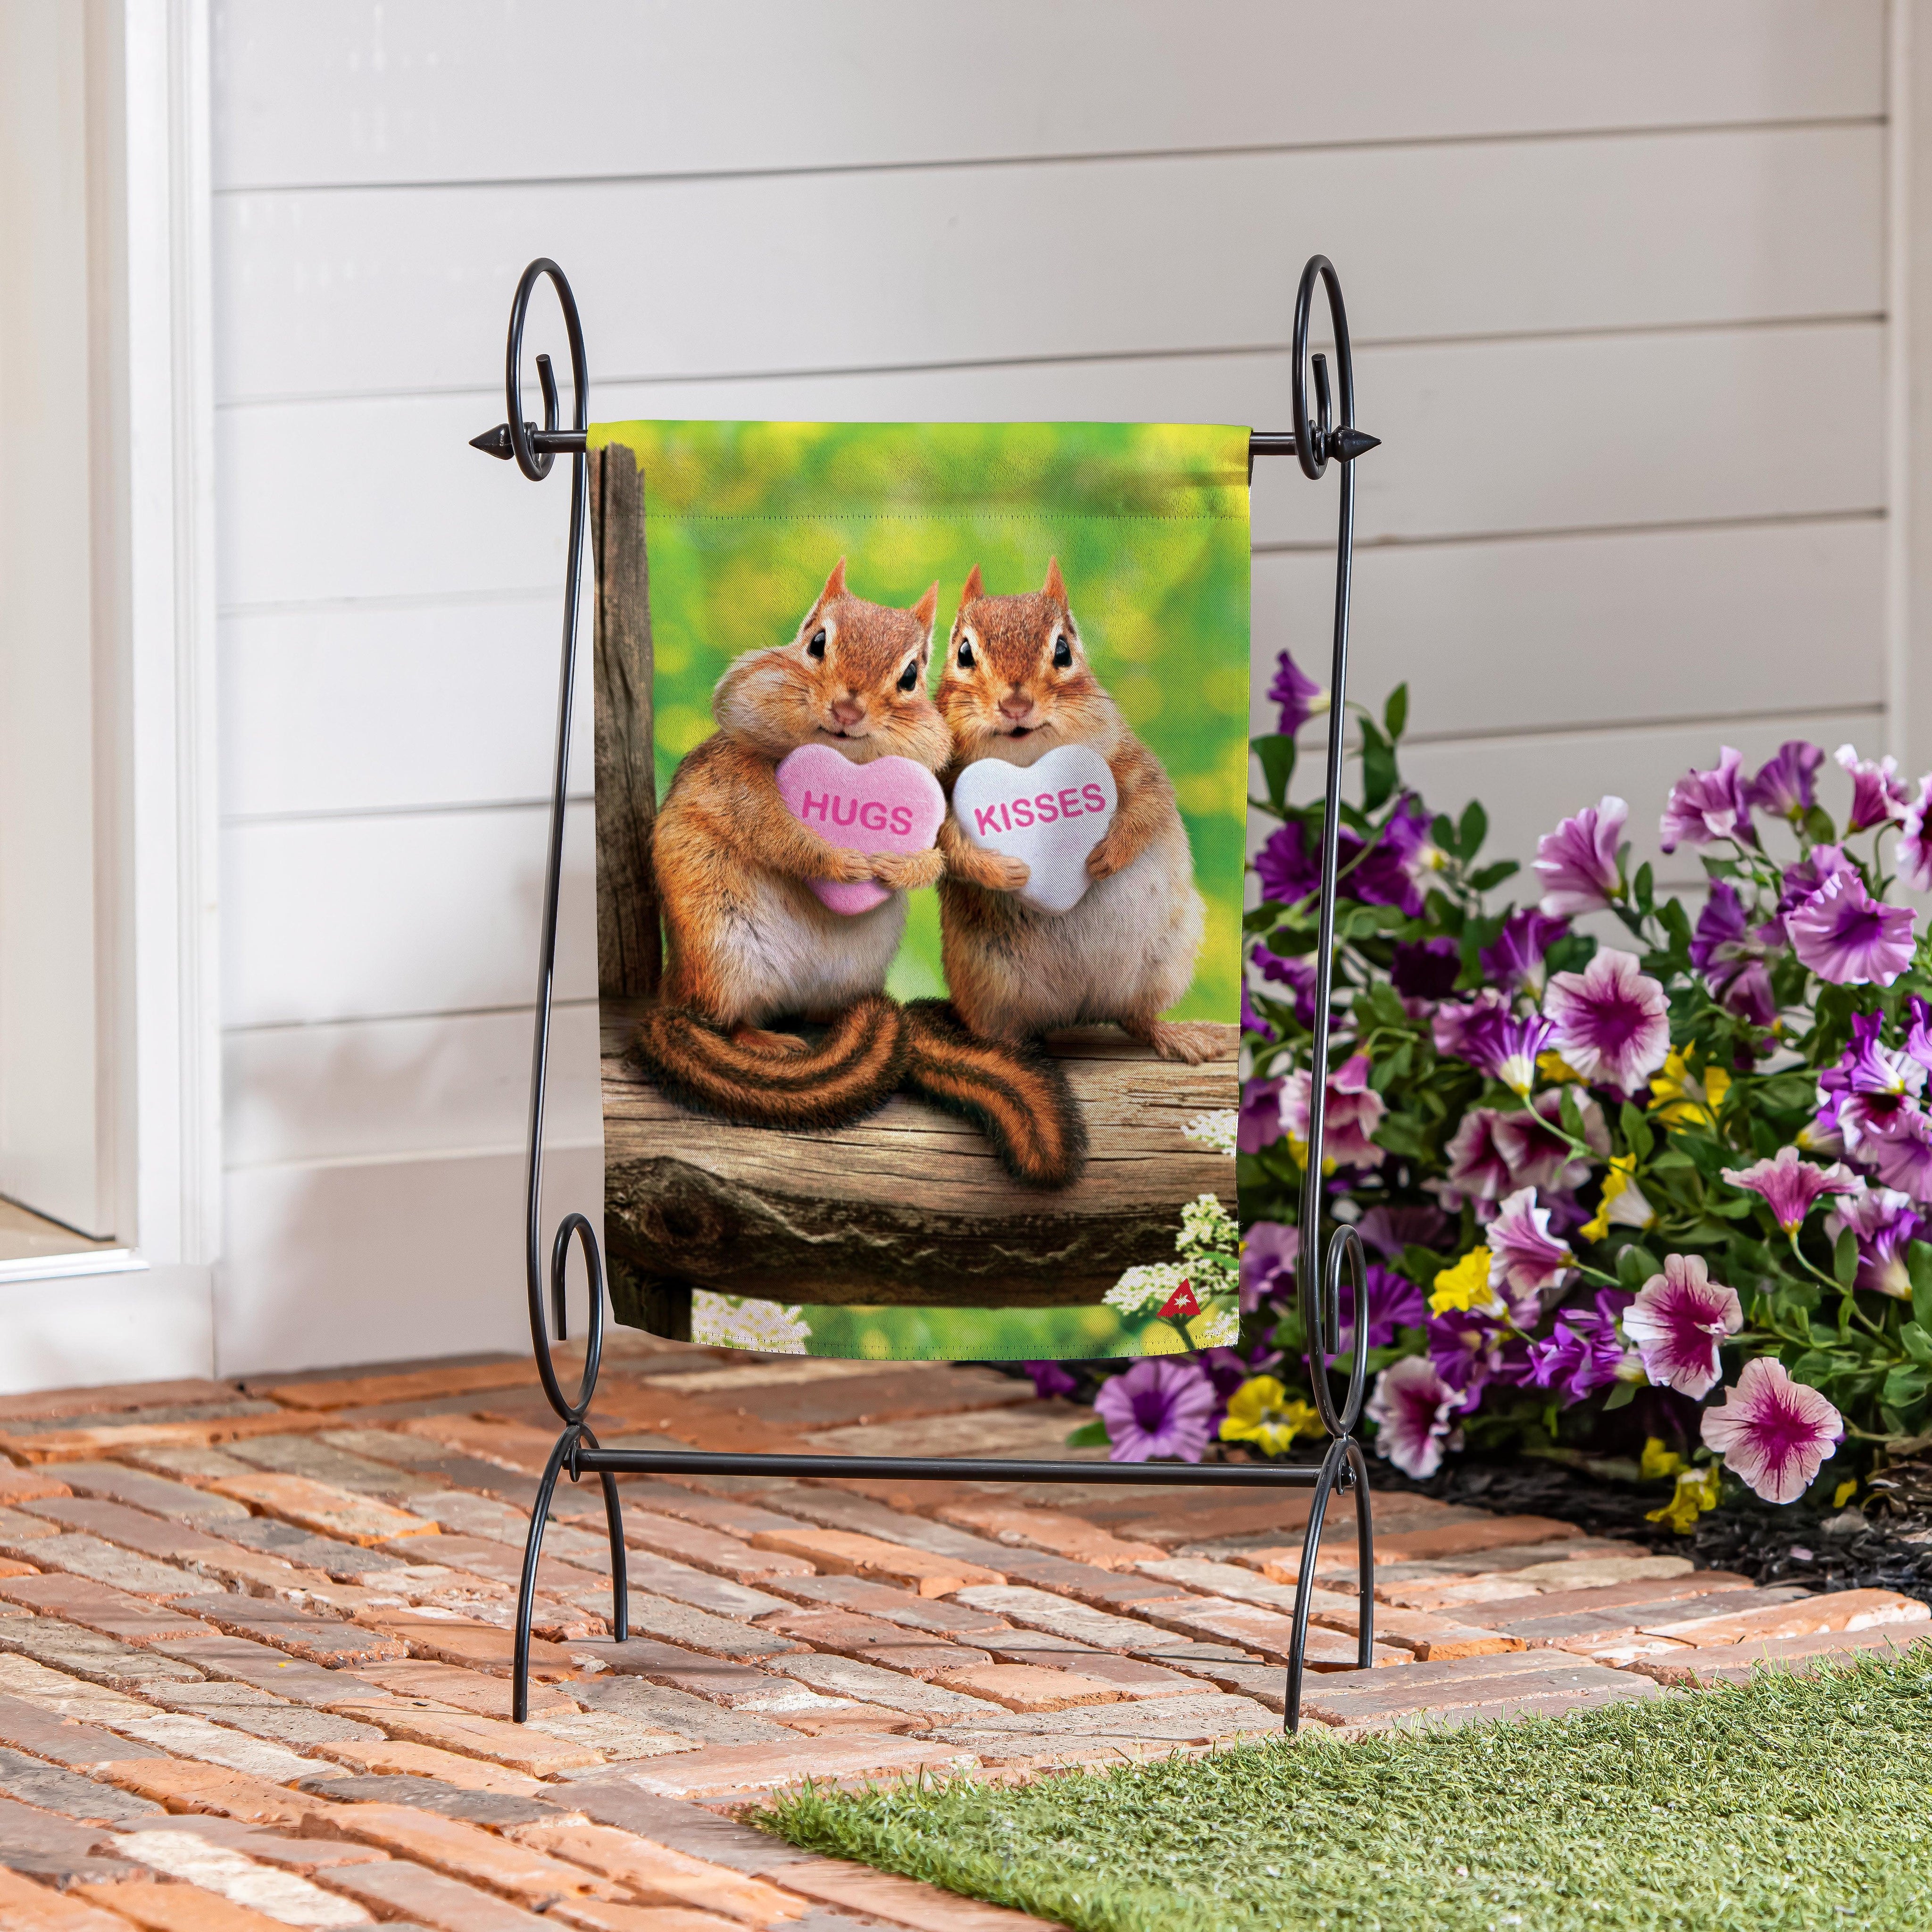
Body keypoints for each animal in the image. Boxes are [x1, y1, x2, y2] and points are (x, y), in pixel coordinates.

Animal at [637, 561, 950, 1127]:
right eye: (817, 642)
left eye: (911, 676)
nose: (848, 708)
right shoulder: (740, 777)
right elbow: (774, 832)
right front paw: (842, 862)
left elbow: (939, 853)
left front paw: (902, 867)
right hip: (723, 956)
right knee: (725, 1020)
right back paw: (764, 1040)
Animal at [934, 559, 1228, 1065]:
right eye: (964, 653)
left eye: (1063, 650)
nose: (1016, 703)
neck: (1027, 760)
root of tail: (1076, 1010)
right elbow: (946, 844)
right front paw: (1003, 871)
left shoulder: (1130, 760)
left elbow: (1148, 805)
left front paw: (1108, 855)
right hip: (984, 982)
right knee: (1003, 1030)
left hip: (1165, 960)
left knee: (1135, 1017)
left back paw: (1175, 1035)